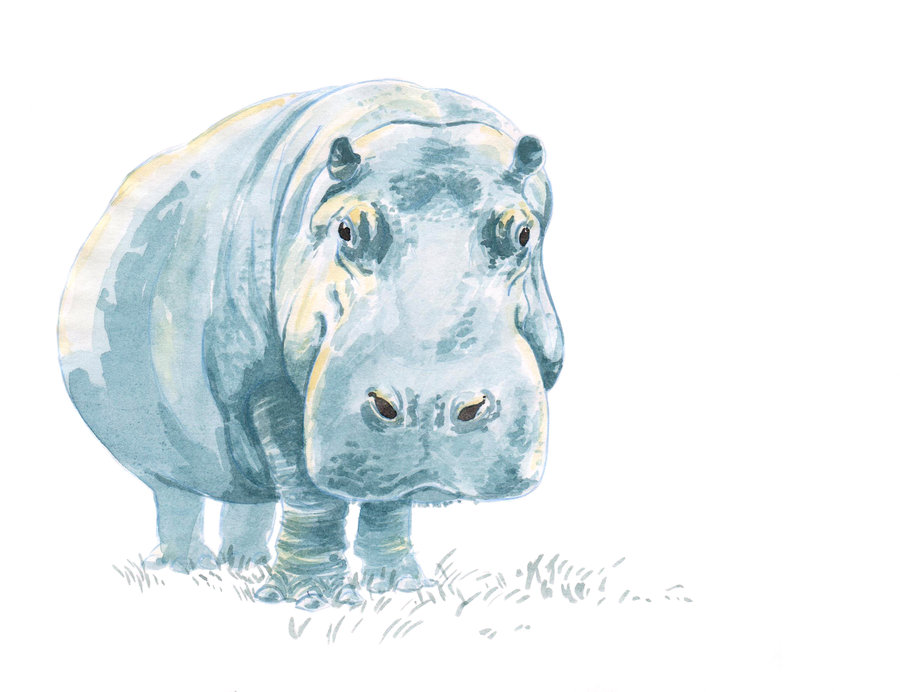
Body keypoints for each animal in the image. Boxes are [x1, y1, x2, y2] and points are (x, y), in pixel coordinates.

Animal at [57, 80, 563, 609]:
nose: (431, 406)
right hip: (162, 453)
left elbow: (387, 498)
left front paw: (399, 586)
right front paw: (311, 598)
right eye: (347, 229)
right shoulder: (262, 380)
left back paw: (245, 563)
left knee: (248, 496)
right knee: (178, 496)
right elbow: (307, 490)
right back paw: (188, 567)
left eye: (523, 232)